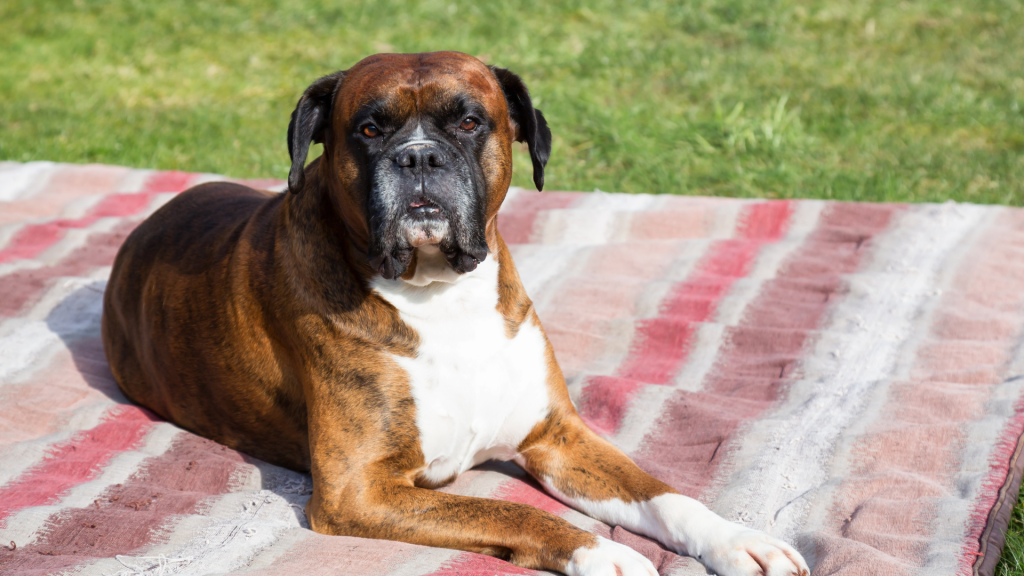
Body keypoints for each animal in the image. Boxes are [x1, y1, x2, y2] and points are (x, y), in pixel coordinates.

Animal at [101, 51, 806, 569]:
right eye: (369, 129)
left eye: (468, 122)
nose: (417, 155)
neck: (440, 292)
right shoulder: (360, 489)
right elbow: (506, 510)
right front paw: (599, 551)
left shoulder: (558, 438)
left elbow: (661, 492)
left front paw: (738, 540)